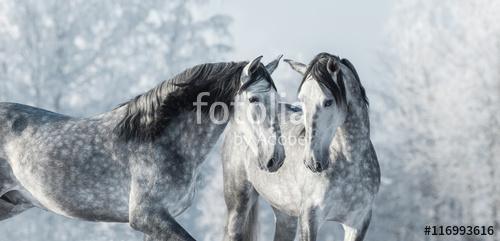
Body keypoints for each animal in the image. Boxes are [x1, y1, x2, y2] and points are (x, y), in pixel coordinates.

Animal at [222, 53, 378, 241]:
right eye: (302, 100)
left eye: (328, 102)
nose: (312, 161)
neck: (350, 162)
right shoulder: (309, 217)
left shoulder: (358, 222)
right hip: (238, 204)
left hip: (285, 216)